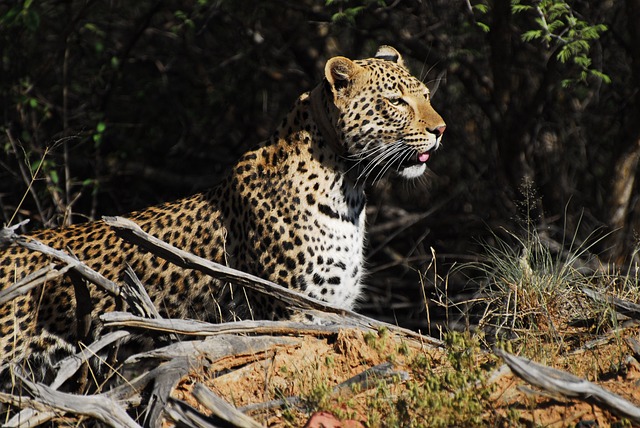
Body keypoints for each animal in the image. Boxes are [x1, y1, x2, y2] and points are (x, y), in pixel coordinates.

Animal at [0, 46, 444, 382]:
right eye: (396, 102)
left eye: (425, 95)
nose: (441, 129)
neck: (347, 188)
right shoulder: (295, 313)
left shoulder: (336, 308)